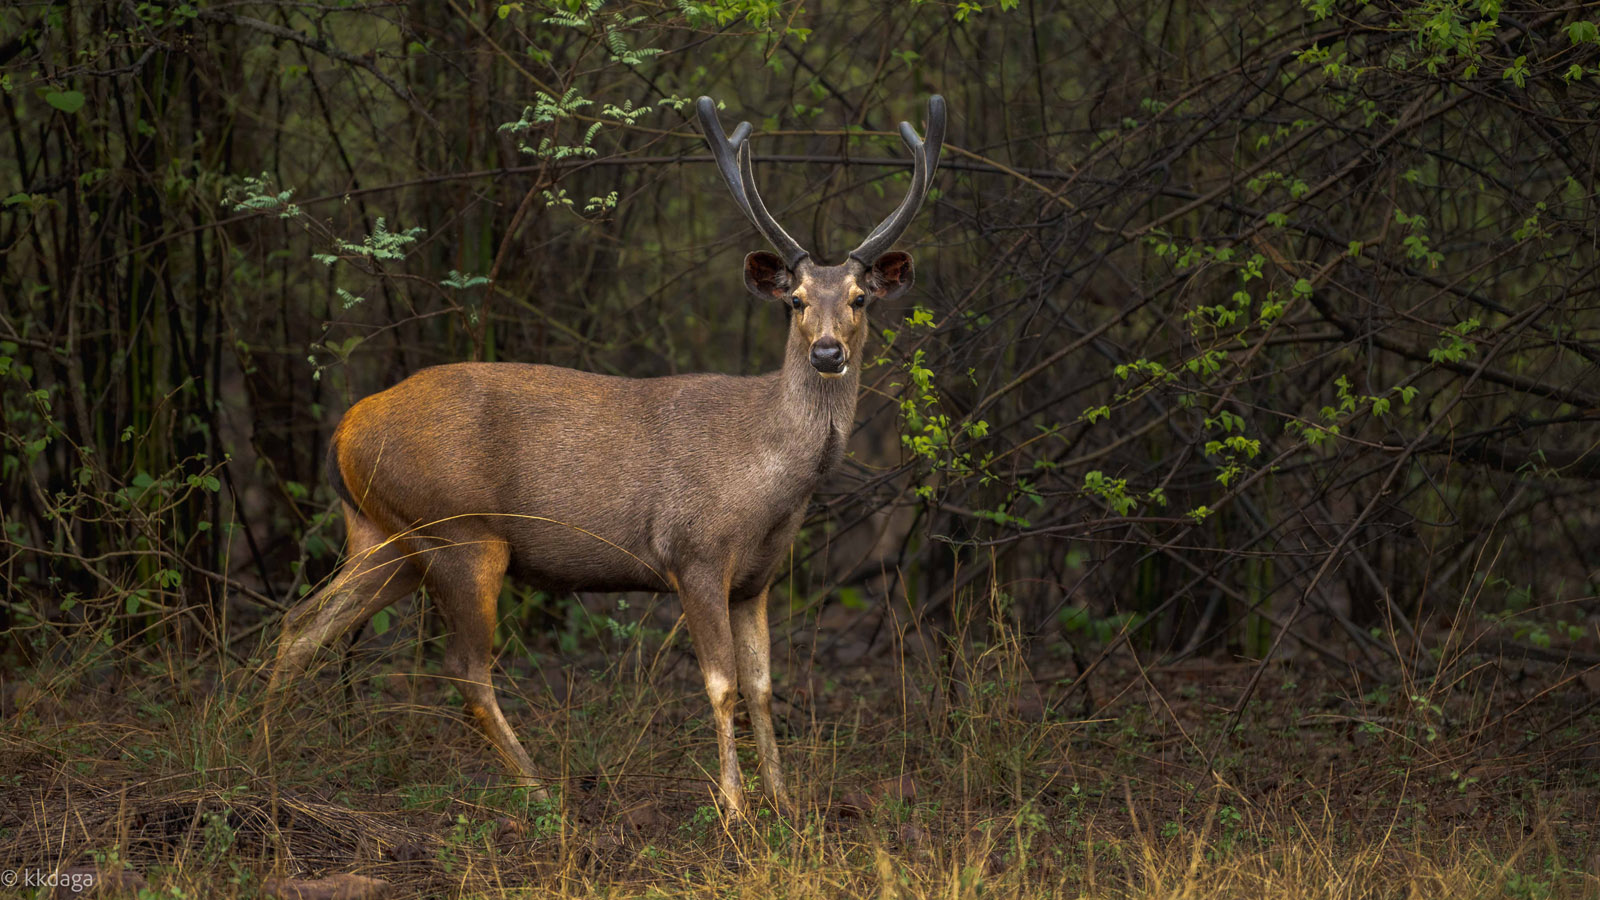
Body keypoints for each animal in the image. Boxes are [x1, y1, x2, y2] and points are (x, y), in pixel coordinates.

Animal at [256, 94, 940, 810]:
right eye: (796, 301)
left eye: (859, 299)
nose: (827, 351)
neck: (770, 483)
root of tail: (344, 431)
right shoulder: (694, 552)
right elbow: (722, 685)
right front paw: (733, 807)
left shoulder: (756, 579)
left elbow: (762, 688)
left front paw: (783, 803)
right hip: (462, 534)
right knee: (464, 670)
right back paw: (539, 791)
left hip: (384, 537)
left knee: (301, 625)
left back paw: (259, 761)